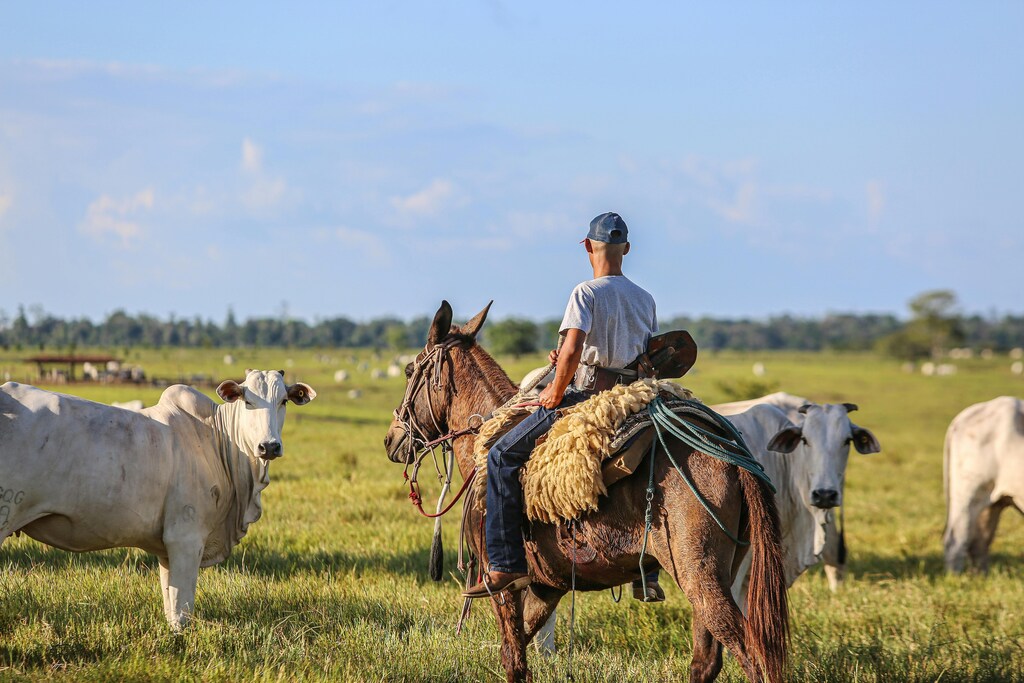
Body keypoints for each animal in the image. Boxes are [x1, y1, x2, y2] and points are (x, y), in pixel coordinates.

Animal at [0, 369, 316, 629]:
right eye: (248, 401)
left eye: (284, 401)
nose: (269, 446)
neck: (218, 439)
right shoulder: (185, 538)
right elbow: (181, 611)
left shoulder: (167, 549)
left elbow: (170, 601)